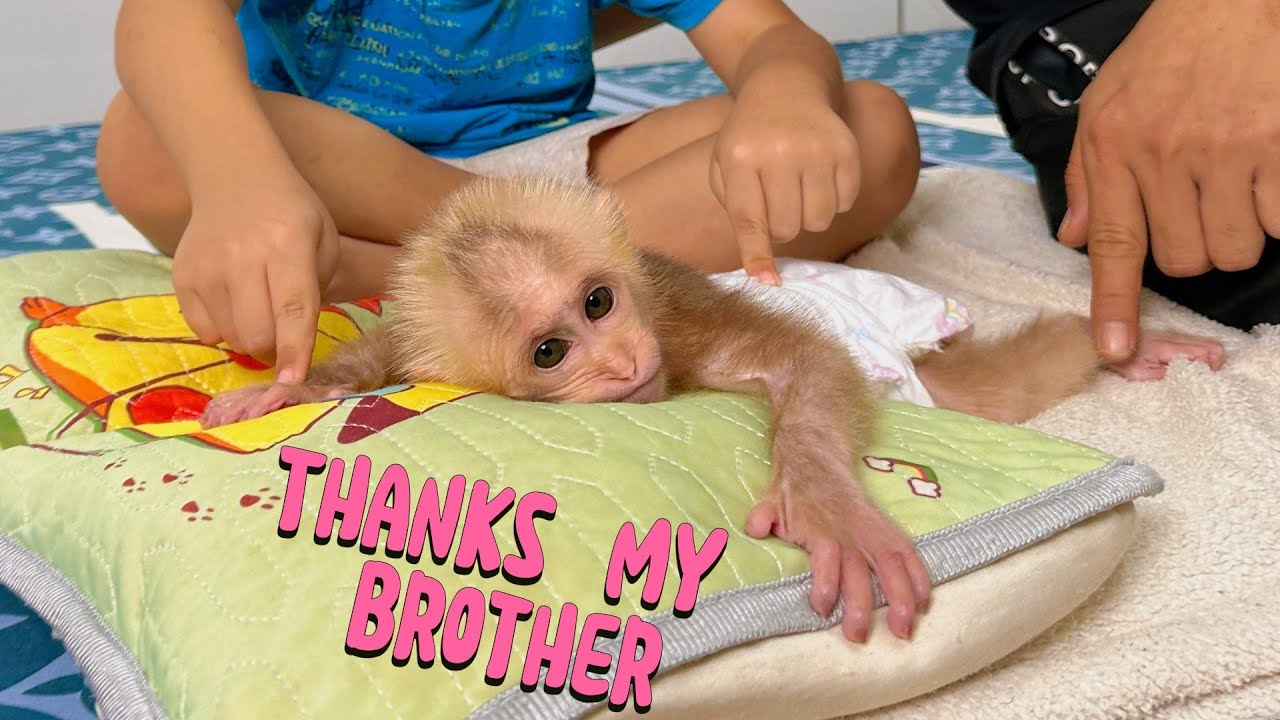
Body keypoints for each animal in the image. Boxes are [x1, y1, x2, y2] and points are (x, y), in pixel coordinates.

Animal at [200, 175, 1225, 644]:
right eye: (549, 352)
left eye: (599, 302)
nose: (621, 361)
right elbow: (378, 356)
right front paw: (288, 385)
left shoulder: (672, 312)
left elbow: (799, 364)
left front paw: (826, 502)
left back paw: (1120, 342)